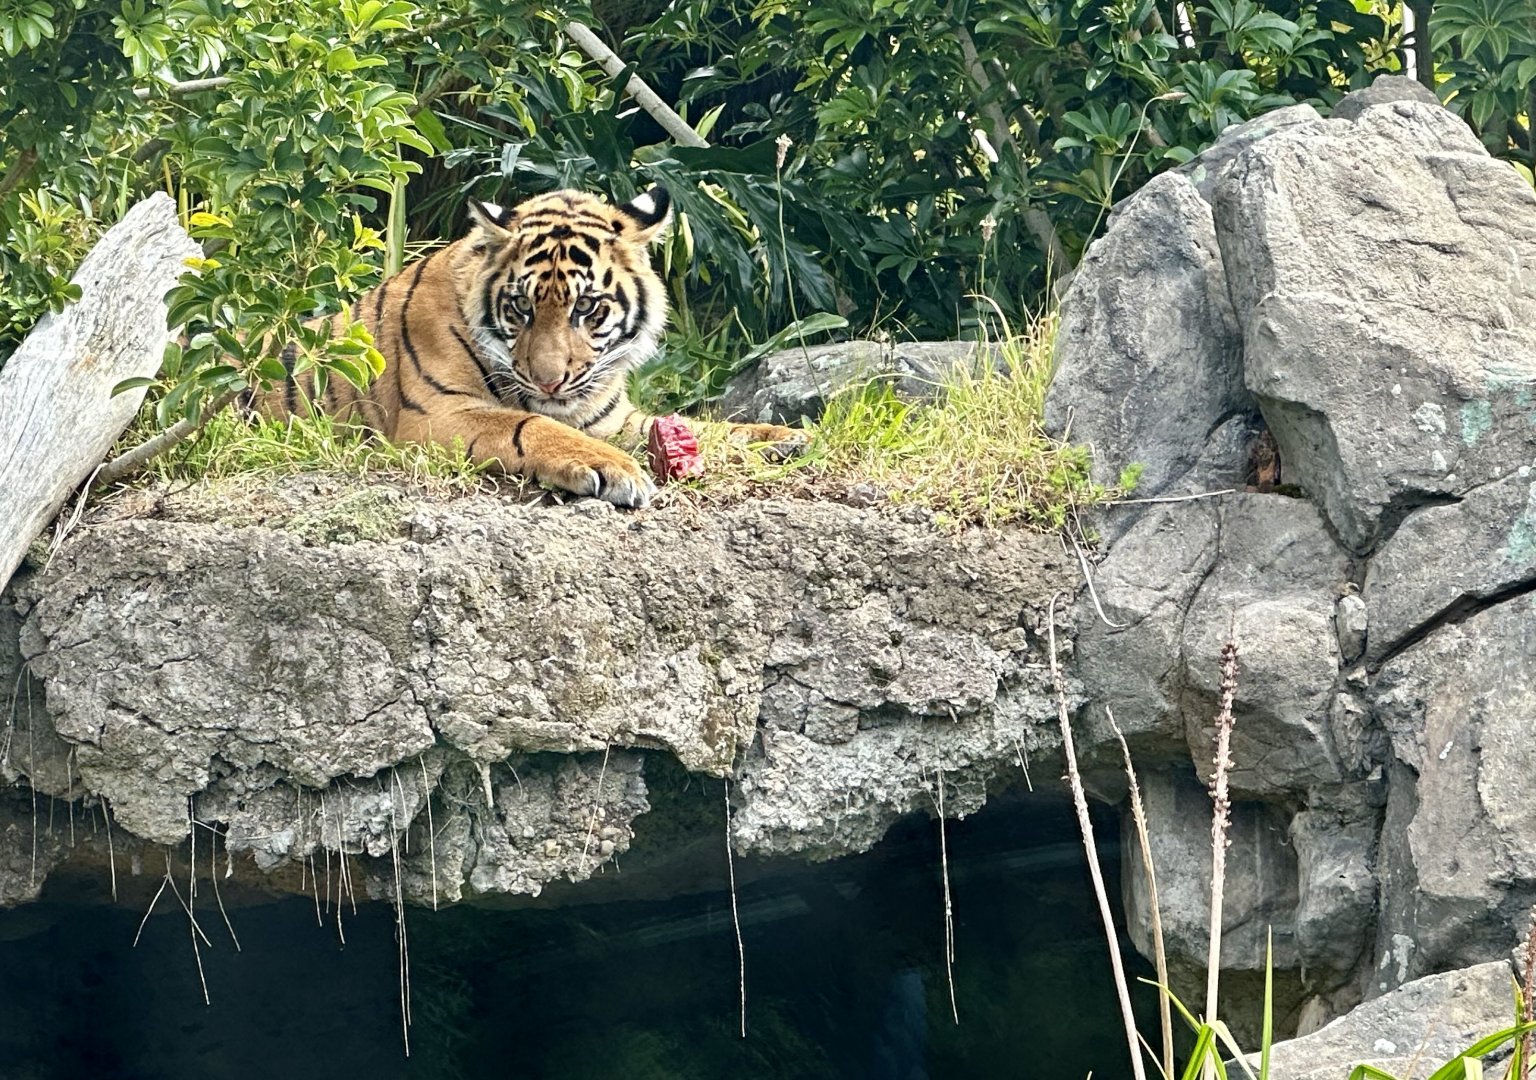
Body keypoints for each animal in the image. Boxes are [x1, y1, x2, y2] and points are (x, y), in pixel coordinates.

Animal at [252, 185, 800, 507]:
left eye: (586, 307)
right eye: (521, 306)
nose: (548, 381)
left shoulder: (613, 418)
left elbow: (698, 426)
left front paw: (781, 438)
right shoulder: (436, 414)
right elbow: (529, 425)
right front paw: (613, 468)